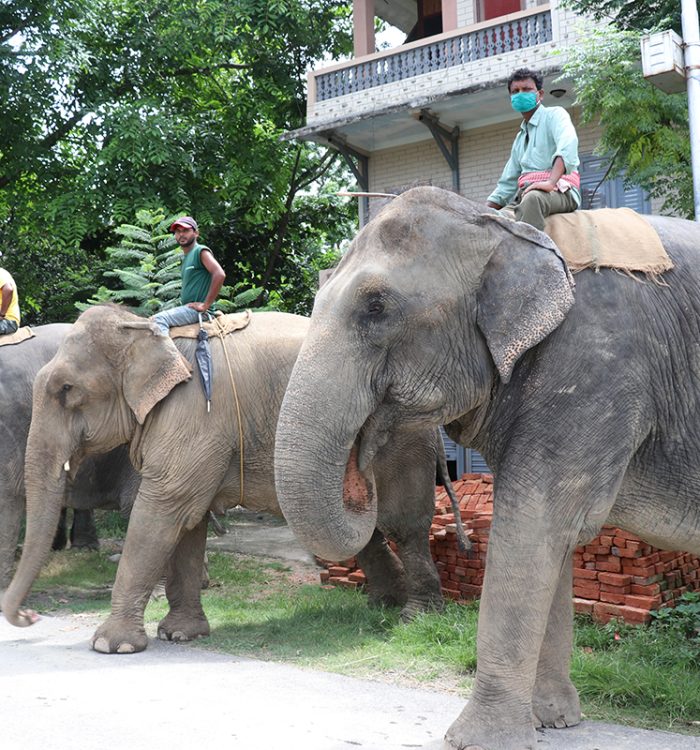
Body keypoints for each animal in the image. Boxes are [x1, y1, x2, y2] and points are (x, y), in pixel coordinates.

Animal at [4, 308, 454, 656]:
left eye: (66, 389)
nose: (28, 616)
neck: (147, 327)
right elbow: (189, 523)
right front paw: (180, 634)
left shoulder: (193, 419)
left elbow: (162, 511)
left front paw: (111, 646)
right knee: (359, 530)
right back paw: (381, 605)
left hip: (405, 440)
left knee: (403, 525)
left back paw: (413, 616)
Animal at [274, 184, 700, 750]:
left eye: (376, 306)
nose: (361, 474)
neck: (499, 229)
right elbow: (552, 540)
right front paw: (551, 721)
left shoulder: (598, 368)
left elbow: (531, 528)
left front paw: (476, 740)